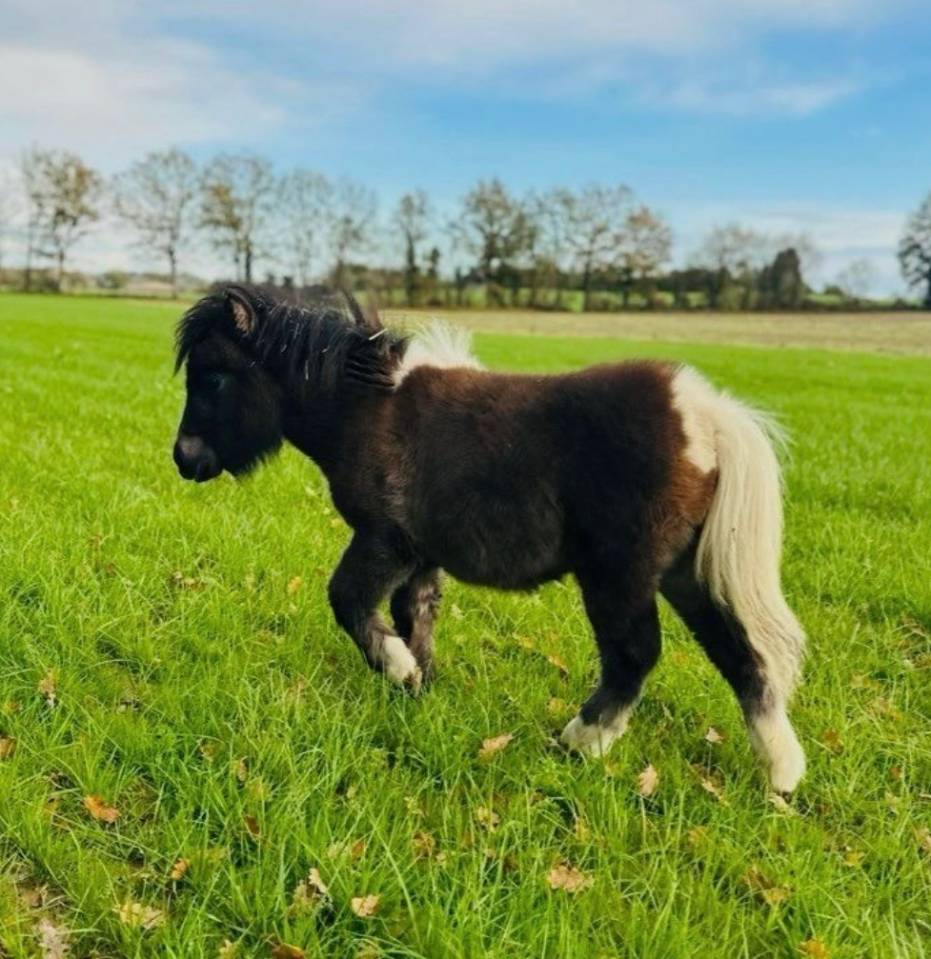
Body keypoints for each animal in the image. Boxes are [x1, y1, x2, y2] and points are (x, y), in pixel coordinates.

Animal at [172, 285, 807, 793]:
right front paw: (418, 684)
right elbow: (416, 616)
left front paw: (399, 670)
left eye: (215, 377)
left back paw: (580, 741)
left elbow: (349, 601)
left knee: (635, 655)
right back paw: (782, 772)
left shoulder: (384, 540)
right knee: (741, 655)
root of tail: (704, 414)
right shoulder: (421, 555)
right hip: (683, 574)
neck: (369, 407)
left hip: (619, 575)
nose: (183, 459)